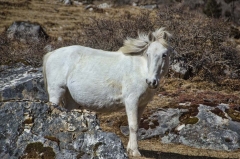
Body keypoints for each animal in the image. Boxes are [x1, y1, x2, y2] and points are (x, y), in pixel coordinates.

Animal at [42, 27, 174, 157]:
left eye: (164, 55)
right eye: (148, 54)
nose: (151, 81)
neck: (141, 70)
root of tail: (51, 54)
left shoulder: (141, 104)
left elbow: (136, 124)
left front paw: (130, 149)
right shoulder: (131, 101)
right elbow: (133, 126)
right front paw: (135, 152)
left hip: (70, 100)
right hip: (56, 93)